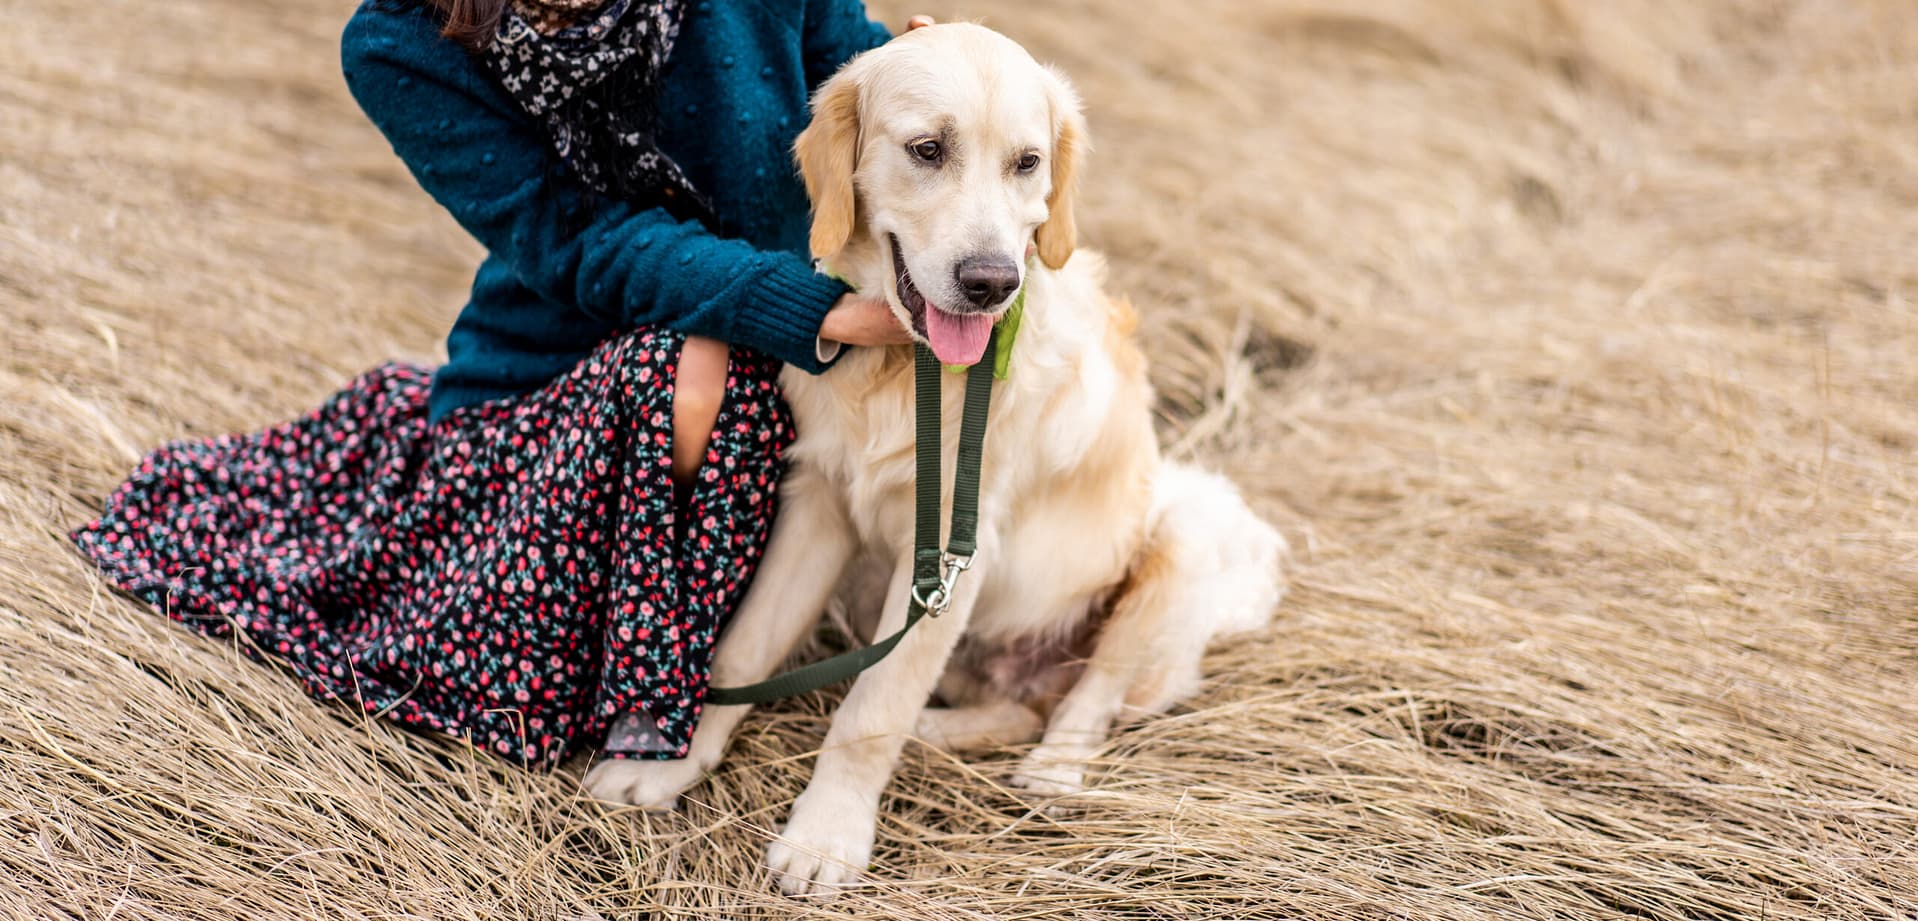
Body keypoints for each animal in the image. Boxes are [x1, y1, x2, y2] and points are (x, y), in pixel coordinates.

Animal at [583, 25, 1288, 894]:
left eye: (1027, 162)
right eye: (927, 149)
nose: (991, 282)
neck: (908, 370)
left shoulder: (956, 549)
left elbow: (873, 706)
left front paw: (825, 837)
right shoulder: (821, 502)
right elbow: (748, 644)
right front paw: (671, 765)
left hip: (1185, 525)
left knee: (1085, 698)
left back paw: (1052, 768)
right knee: (1014, 706)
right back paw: (940, 731)